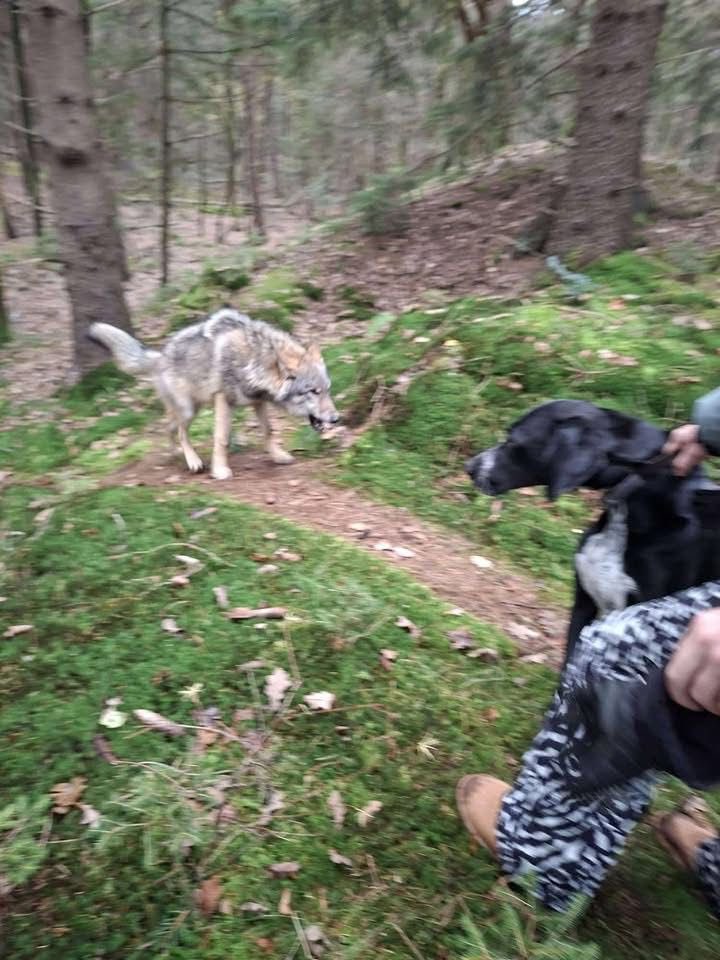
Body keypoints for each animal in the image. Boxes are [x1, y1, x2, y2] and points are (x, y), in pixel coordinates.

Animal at [90, 308, 340, 479]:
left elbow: (269, 430)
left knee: (168, 427)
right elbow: (222, 438)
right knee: (180, 431)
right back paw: (192, 461)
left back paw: (174, 452)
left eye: (327, 390)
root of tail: (160, 356)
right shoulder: (223, 399)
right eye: (313, 391)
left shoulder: (257, 401)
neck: (254, 359)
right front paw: (219, 470)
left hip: (192, 408)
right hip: (190, 410)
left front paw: (278, 456)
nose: (337, 418)